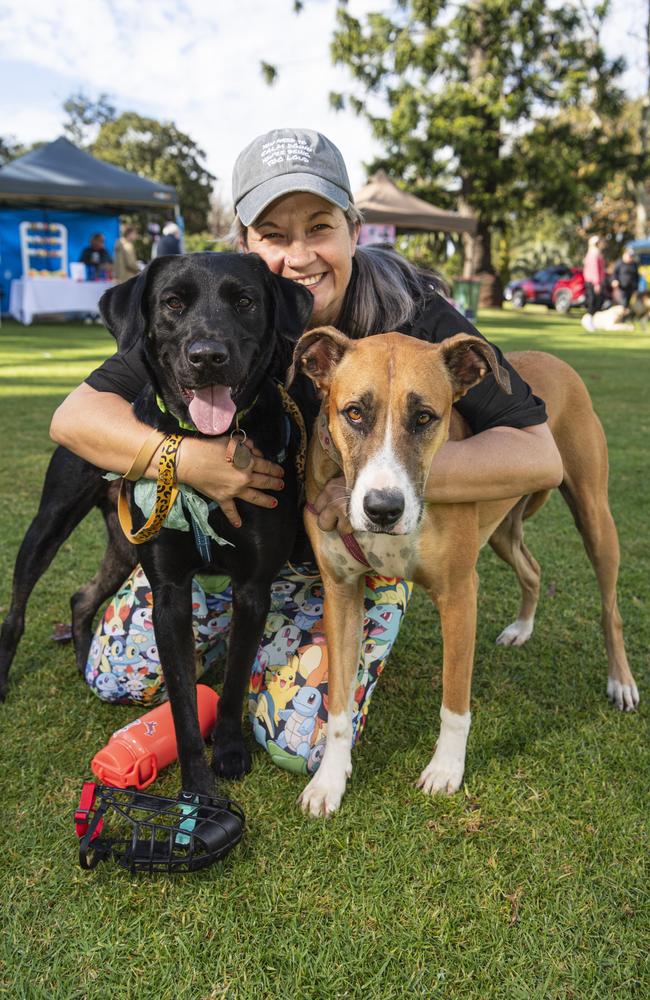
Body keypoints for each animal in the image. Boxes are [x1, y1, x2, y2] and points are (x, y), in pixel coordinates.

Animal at [0, 256, 314, 796]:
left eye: (245, 301)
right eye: (172, 303)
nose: (207, 357)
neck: (206, 442)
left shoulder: (252, 586)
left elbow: (233, 683)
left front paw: (228, 751)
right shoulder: (168, 590)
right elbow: (184, 704)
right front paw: (198, 788)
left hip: (124, 545)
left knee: (82, 597)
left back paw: (82, 661)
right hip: (50, 523)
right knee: (17, 609)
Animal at [292, 332, 636, 816]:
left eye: (424, 417)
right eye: (354, 412)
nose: (382, 509)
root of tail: (554, 358)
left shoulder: (458, 595)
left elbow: (454, 701)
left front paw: (446, 770)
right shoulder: (341, 594)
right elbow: (339, 705)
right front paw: (329, 781)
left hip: (594, 517)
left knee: (610, 610)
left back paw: (621, 681)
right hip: (502, 533)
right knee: (532, 570)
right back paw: (521, 628)